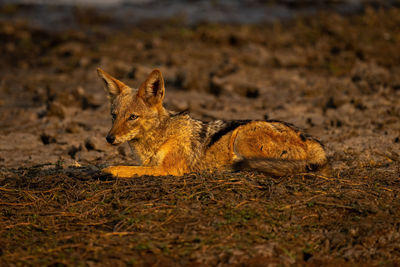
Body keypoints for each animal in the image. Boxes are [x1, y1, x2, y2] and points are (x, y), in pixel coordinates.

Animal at [96, 68, 328, 179]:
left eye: (132, 117)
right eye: (113, 116)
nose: (109, 138)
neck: (160, 137)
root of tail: (311, 140)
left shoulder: (168, 169)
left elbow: (124, 168)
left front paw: (108, 170)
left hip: (241, 136)